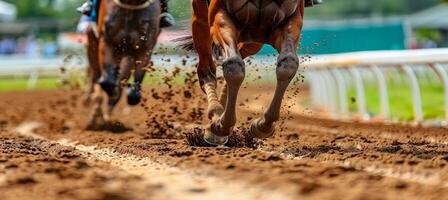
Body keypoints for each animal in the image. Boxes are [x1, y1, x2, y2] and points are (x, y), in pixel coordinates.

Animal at [84, 0, 161, 128]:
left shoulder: (145, 47)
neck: (132, 4)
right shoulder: (107, 40)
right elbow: (106, 82)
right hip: (92, 41)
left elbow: (133, 93)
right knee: (96, 75)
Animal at [182, 0, 304, 145]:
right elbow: (233, 65)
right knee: (207, 70)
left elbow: (288, 64)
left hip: (253, 40)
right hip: (201, 21)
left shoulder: (290, 19)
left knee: (240, 53)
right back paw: (215, 115)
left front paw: (263, 125)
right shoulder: (219, 15)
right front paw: (221, 126)